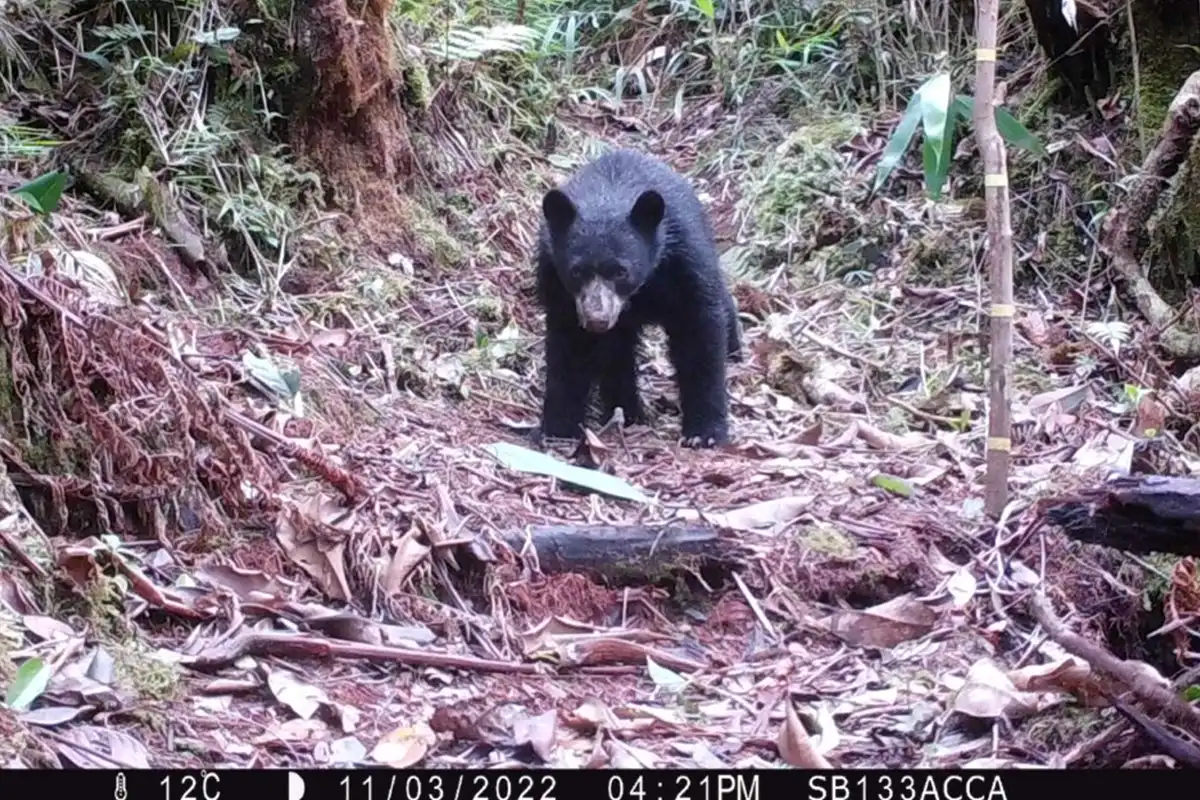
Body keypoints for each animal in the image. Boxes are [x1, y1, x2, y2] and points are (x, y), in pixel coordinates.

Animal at [533, 148, 741, 448]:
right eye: (576, 271)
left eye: (621, 270)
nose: (597, 319)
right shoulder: (557, 284)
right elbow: (568, 348)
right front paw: (559, 428)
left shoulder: (685, 262)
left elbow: (699, 336)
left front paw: (705, 432)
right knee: (617, 353)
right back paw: (627, 411)